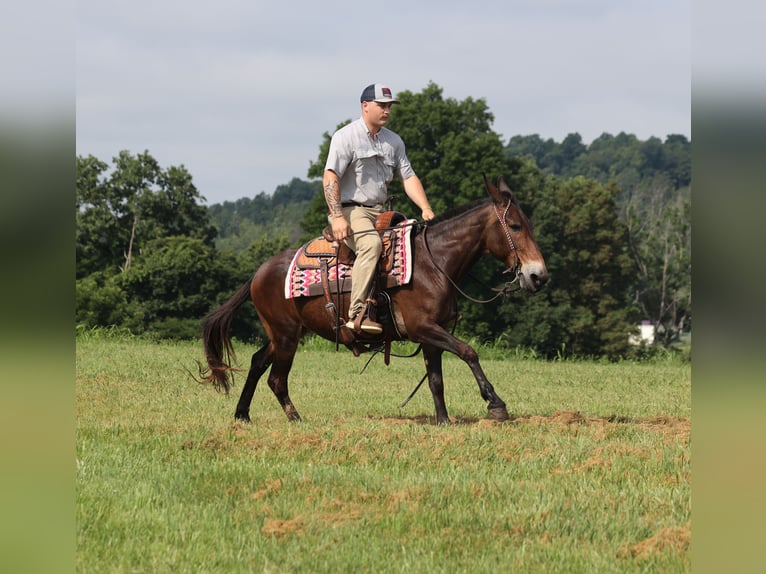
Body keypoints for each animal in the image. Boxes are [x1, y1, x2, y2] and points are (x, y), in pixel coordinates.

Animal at [199, 176, 548, 425]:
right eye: (515, 226)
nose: (539, 276)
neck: (434, 264)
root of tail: (258, 273)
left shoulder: (432, 335)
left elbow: (436, 380)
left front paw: (444, 421)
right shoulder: (423, 328)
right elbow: (468, 351)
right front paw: (495, 403)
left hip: (285, 333)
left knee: (258, 362)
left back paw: (242, 414)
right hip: (285, 336)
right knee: (276, 378)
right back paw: (295, 418)